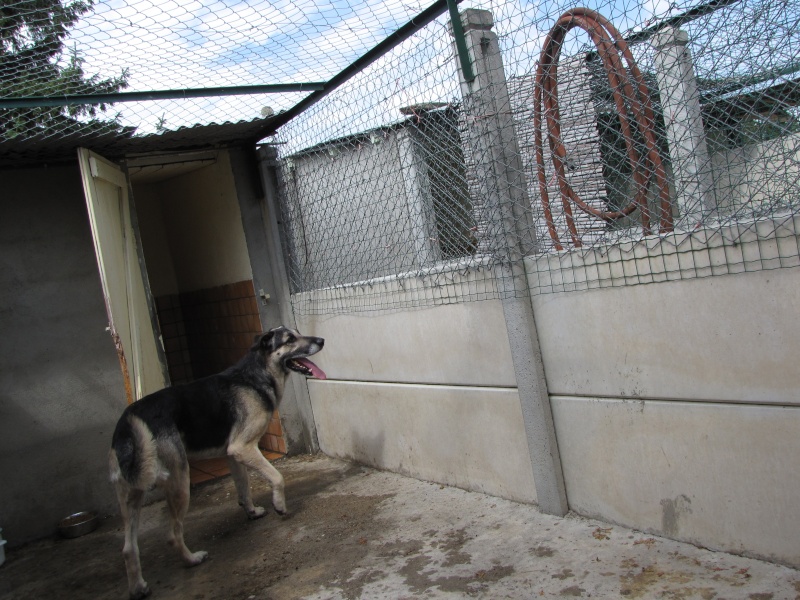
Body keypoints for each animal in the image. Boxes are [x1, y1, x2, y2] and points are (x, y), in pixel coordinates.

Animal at [108, 328, 324, 600]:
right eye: (290, 340)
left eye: (297, 334)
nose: (321, 341)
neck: (256, 374)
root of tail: (126, 423)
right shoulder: (243, 448)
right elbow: (277, 477)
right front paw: (279, 506)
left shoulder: (233, 455)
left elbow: (243, 487)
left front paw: (252, 512)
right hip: (179, 482)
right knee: (172, 535)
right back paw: (192, 560)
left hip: (131, 496)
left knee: (128, 548)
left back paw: (138, 587)